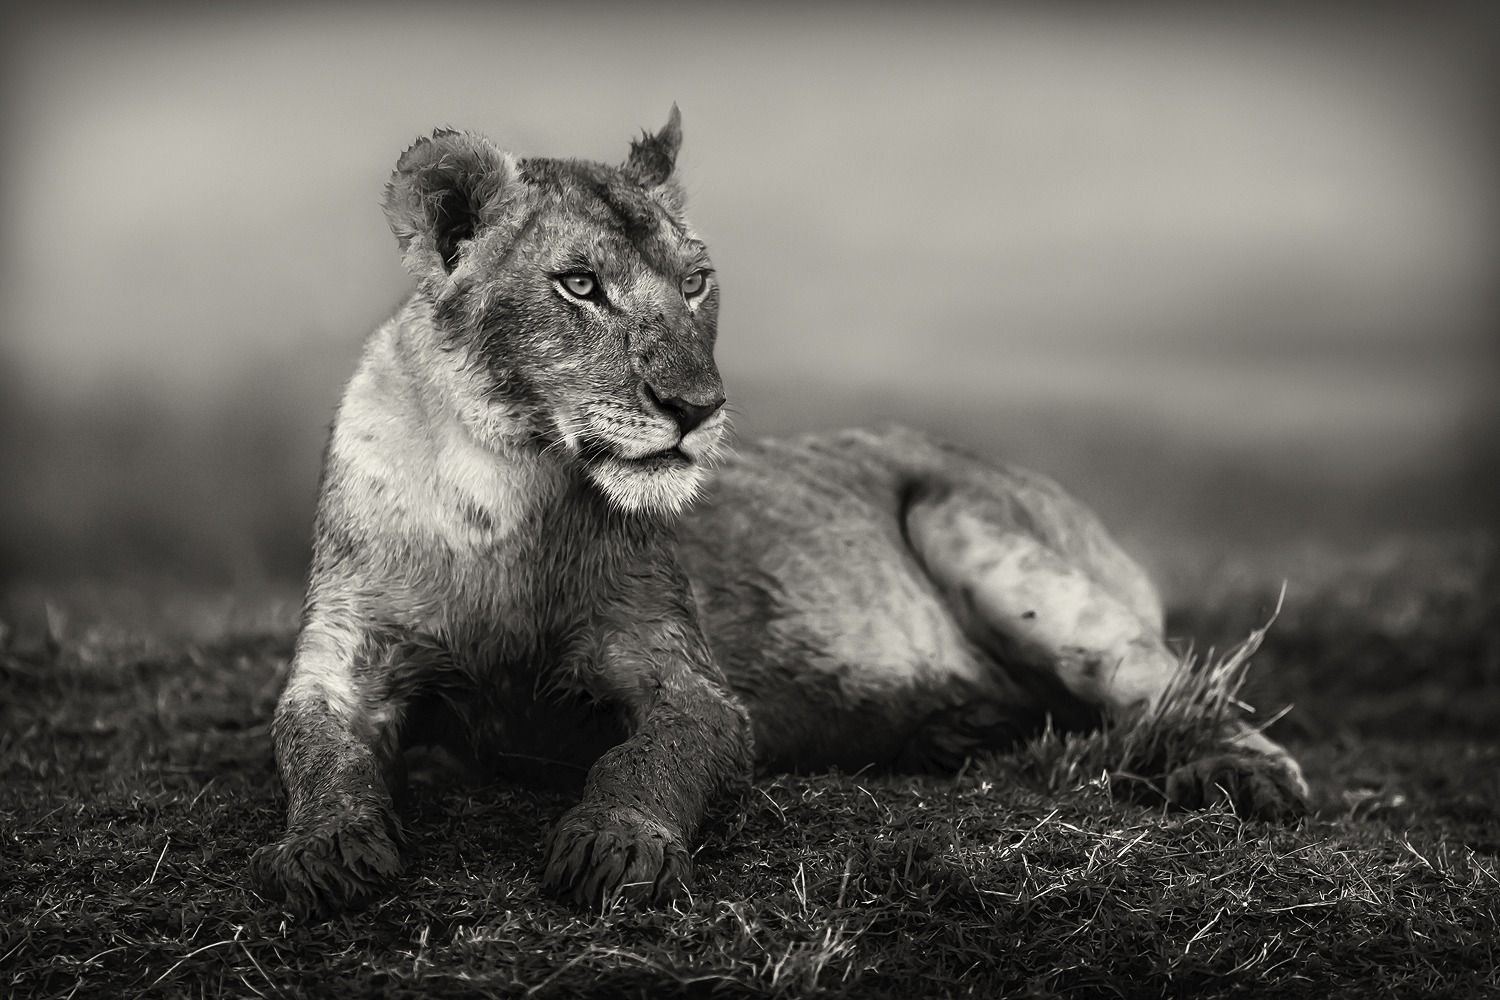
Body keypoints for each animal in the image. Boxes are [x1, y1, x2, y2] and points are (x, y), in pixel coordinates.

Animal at [251, 108, 1308, 918]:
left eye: (694, 282)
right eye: (580, 284)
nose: (697, 407)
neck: (499, 491)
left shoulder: (687, 681)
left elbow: (647, 761)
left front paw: (614, 846)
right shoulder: (338, 667)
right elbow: (312, 751)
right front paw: (328, 850)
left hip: (969, 525)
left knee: (1176, 686)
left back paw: (1243, 776)